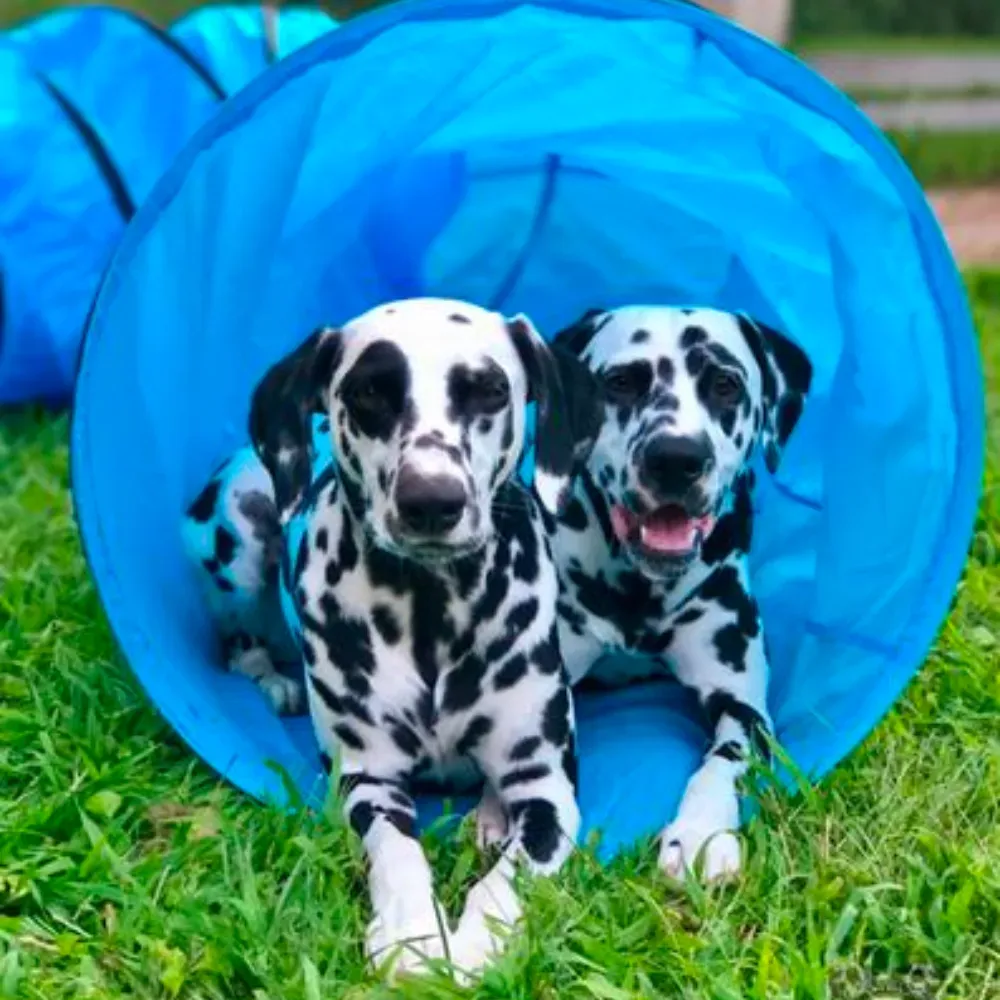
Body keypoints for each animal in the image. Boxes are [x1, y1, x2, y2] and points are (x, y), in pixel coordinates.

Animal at [182, 294, 600, 976]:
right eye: (370, 392)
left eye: (488, 390)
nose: (431, 499)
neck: (432, 610)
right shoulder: (368, 779)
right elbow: (398, 854)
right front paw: (413, 936)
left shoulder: (547, 790)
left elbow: (507, 878)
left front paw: (477, 942)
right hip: (238, 523)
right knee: (240, 642)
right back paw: (272, 680)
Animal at [548, 306, 812, 884]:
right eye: (621, 382)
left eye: (725, 384)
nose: (675, 457)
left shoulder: (743, 705)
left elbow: (721, 765)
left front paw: (699, 835)